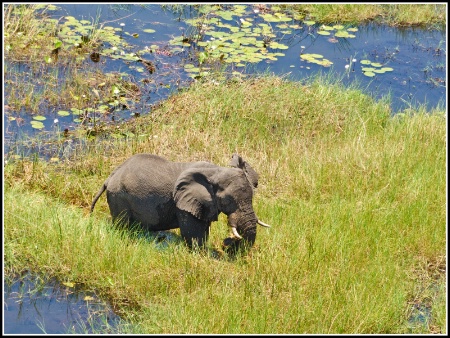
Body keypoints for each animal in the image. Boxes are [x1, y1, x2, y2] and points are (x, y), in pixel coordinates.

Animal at [89, 154, 268, 254]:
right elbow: (193, 235)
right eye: (228, 200)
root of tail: (109, 178)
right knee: (122, 225)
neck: (216, 171)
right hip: (119, 197)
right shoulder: (183, 203)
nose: (227, 243)